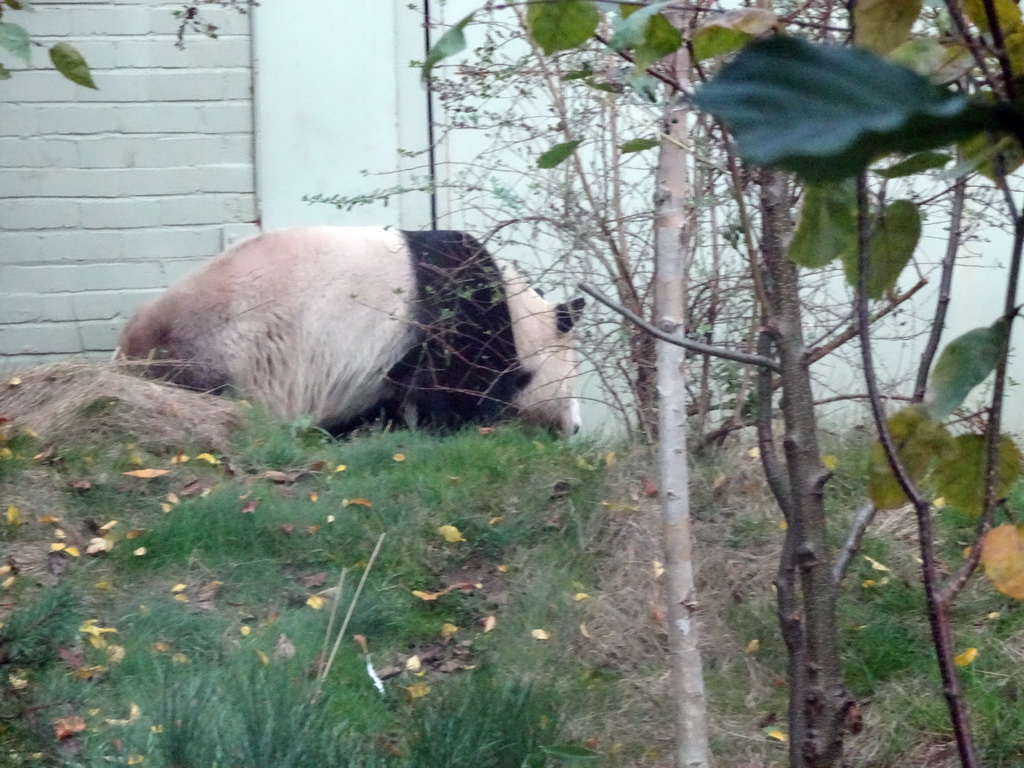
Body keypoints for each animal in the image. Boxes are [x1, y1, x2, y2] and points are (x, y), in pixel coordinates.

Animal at [117, 225, 585, 436]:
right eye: (573, 381)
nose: (576, 427)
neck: (519, 315)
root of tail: (126, 351)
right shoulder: (455, 320)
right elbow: (449, 391)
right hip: (223, 349)